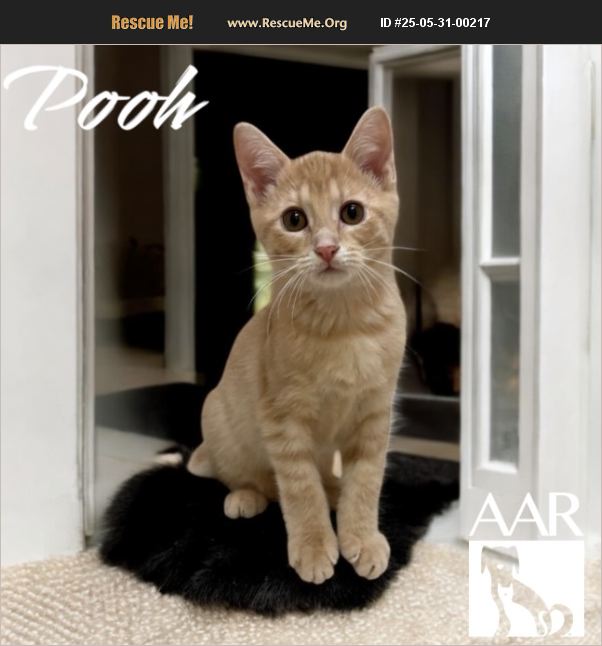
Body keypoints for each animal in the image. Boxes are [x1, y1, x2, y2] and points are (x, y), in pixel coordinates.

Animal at [187, 107, 406, 585]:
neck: (344, 326)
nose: (326, 249)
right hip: (218, 416)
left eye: (352, 212)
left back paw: (334, 490)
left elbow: (367, 481)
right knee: (253, 480)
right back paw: (247, 496)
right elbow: (299, 487)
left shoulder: (375, 415)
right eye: (294, 220)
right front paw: (313, 544)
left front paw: (360, 535)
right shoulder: (282, 419)